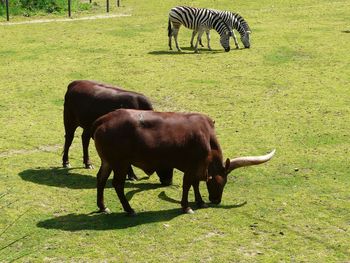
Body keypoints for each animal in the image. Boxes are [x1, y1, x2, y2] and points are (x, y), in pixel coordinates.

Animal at [91, 109, 274, 214]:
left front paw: (200, 202)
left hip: (107, 161)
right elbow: (188, 184)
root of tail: (104, 119)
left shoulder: (198, 167)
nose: (216, 200)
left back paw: (102, 206)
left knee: (101, 178)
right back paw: (129, 209)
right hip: (120, 163)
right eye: (219, 182)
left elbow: (195, 184)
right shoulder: (191, 166)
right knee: (117, 184)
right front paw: (187, 207)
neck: (207, 138)